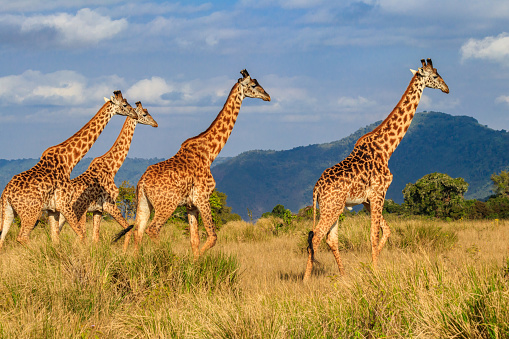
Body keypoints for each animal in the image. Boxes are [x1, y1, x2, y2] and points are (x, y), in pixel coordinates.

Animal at [0, 91, 137, 251]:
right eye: (125, 105)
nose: (134, 114)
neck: (69, 161)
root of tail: (6, 193)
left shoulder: (53, 209)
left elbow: (55, 239)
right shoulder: (64, 204)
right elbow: (81, 235)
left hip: (8, 212)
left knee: (2, 238)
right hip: (31, 213)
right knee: (22, 237)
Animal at [52, 101, 157, 247]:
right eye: (145, 114)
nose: (155, 123)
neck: (112, 168)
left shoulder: (98, 210)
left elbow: (95, 237)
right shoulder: (109, 204)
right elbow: (128, 229)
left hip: (62, 214)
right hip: (78, 212)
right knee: (79, 236)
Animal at [115, 69, 272, 258]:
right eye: (254, 85)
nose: (268, 96)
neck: (210, 152)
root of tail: (142, 183)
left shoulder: (191, 206)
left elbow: (194, 240)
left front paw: (194, 261)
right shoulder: (203, 197)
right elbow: (212, 236)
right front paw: (195, 261)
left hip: (144, 203)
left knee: (138, 231)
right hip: (167, 205)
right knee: (152, 229)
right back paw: (171, 258)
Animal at [302, 59, 448, 282]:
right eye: (434, 76)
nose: (447, 88)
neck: (386, 149)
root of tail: (316, 187)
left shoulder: (367, 200)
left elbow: (386, 231)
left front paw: (372, 267)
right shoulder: (379, 193)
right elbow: (374, 235)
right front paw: (376, 271)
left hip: (335, 207)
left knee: (330, 238)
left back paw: (343, 276)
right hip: (331, 207)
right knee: (316, 235)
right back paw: (306, 279)